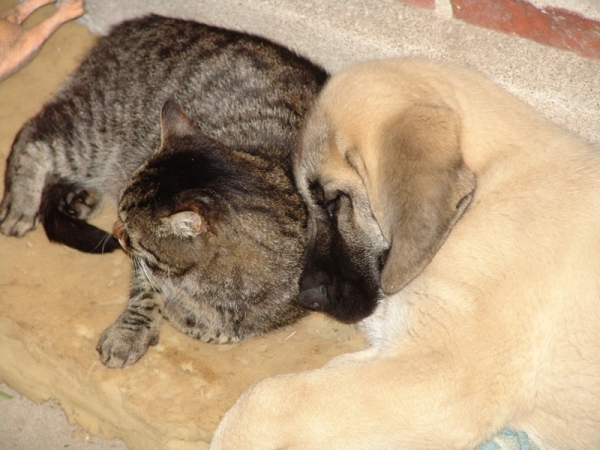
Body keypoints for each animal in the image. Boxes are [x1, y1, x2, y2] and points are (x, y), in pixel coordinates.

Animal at [0, 15, 328, 370]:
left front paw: (189, 316)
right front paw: (131, 331)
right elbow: (146, 295)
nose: (117, 235)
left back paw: (82, 197)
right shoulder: (146, 270)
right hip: (95, 130)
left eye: (132, 233)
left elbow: (229, 329)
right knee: (35, 134)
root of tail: (135, 23)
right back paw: (21, 203)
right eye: (123, 222)